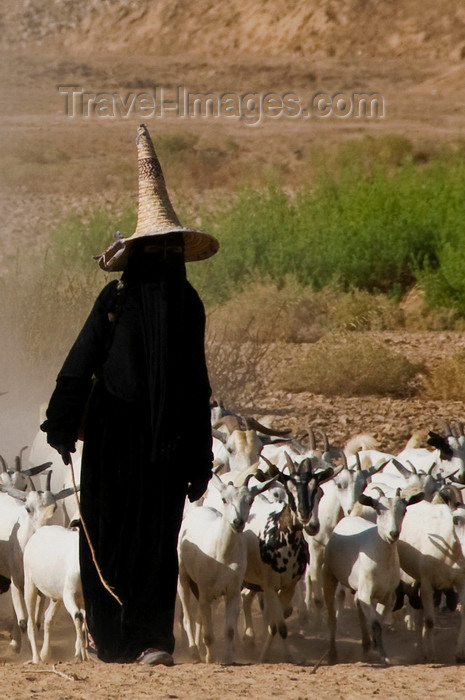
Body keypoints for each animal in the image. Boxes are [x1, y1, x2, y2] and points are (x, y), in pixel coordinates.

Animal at [24, 528, 86, 664]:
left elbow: (85, 624)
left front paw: (84, 654)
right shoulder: (69, 595)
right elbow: (78, 617)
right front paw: (79, 654)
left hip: (57, 597)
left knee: (48, 618)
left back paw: (45, 654)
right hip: (30, 585)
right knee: (31, 623)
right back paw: (37, 659)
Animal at [322, 484, 420, 664]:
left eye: (404, 511)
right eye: (379, 511)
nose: (393, 533)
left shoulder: (387, 596)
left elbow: (378, 620)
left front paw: (377, 647)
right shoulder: (366, 593)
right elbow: (375, 623)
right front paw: (382, 655)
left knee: (358, 608)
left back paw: (366, 644)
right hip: (329, 575)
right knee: (332, 617)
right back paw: (332, 654)